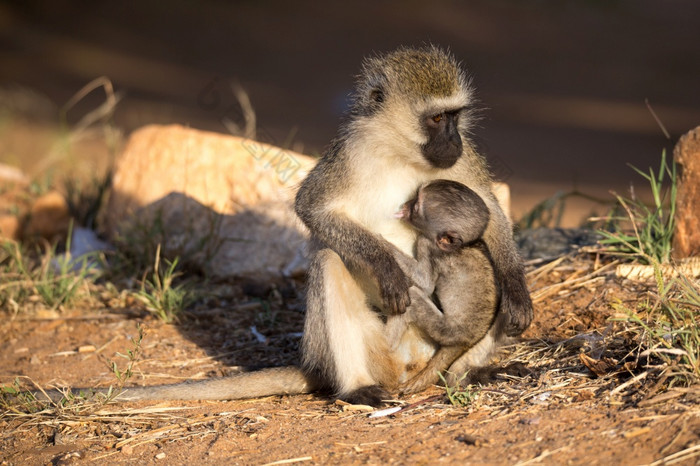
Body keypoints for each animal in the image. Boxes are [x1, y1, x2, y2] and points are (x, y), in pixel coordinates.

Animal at [388, 180, 504, 392]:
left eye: (416, 207)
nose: (406, 205)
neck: (462, 246)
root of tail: (467, 341)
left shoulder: (426, 243)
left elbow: (424, 283)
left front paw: (379, 241)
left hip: (447, 332)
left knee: (413, 297)